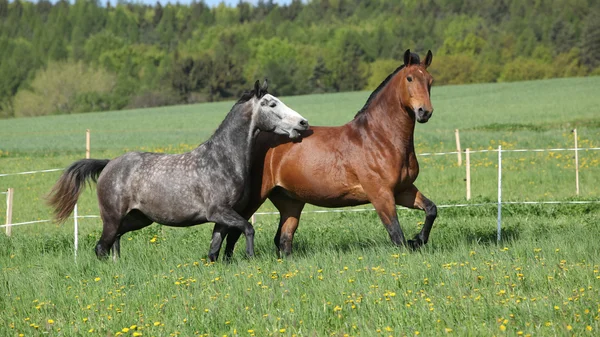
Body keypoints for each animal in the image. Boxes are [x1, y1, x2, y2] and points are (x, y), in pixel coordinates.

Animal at [47, 80, 310, 262]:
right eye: (272, 103)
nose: (303, 123)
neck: (221, 159)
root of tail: (110, 164)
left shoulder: (222, 218)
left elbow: (214, 250)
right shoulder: (220, 212)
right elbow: (248, 228)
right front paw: (251, 258)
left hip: (138, 219)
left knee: (115, 241)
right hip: (112, 217)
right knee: (101, 247)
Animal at [218, 49, 438, 258]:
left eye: (430, 80)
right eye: (409, 78)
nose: (424, 112)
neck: (380, 138)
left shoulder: (403, 190)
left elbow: (431, 209)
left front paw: (418, 240)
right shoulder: (381, 195)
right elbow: (396, 235)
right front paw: (412, 243)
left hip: (290, 202)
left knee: (283, 239)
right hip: (255, 198)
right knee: (232, 231)